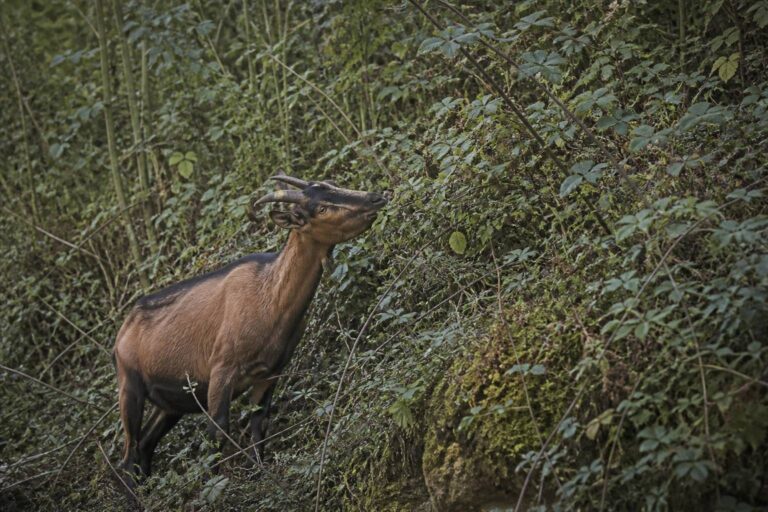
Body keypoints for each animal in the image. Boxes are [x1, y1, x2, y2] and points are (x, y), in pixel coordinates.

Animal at [112, 175, 387, 481]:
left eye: (331, 185)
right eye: (322, 208)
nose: (376, 198)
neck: (269, 296)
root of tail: (123, 330)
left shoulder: (270, 371)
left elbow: (259, 424)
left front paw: (260, 475)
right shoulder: (221, 369)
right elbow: (218, 430)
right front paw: (217, 484)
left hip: (171, 401)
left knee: (146, 445)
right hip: (130, 385)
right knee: (129, 455)